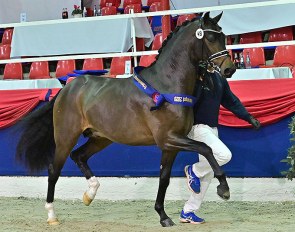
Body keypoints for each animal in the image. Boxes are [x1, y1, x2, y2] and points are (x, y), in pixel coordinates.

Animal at [15, 12, 236, 227]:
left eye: (224, 36)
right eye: (210, 38)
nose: (229, 69)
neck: (166, 85)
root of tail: (66, 88)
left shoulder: (170, 145)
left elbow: (164, 178)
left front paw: (163, 215)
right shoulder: (168, 138)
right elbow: (206, 148)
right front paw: (224, 189)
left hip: (101, 138)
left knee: (79, 156)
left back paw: (90, 194)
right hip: (66, 137)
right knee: (54, 170)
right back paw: (52, 215)